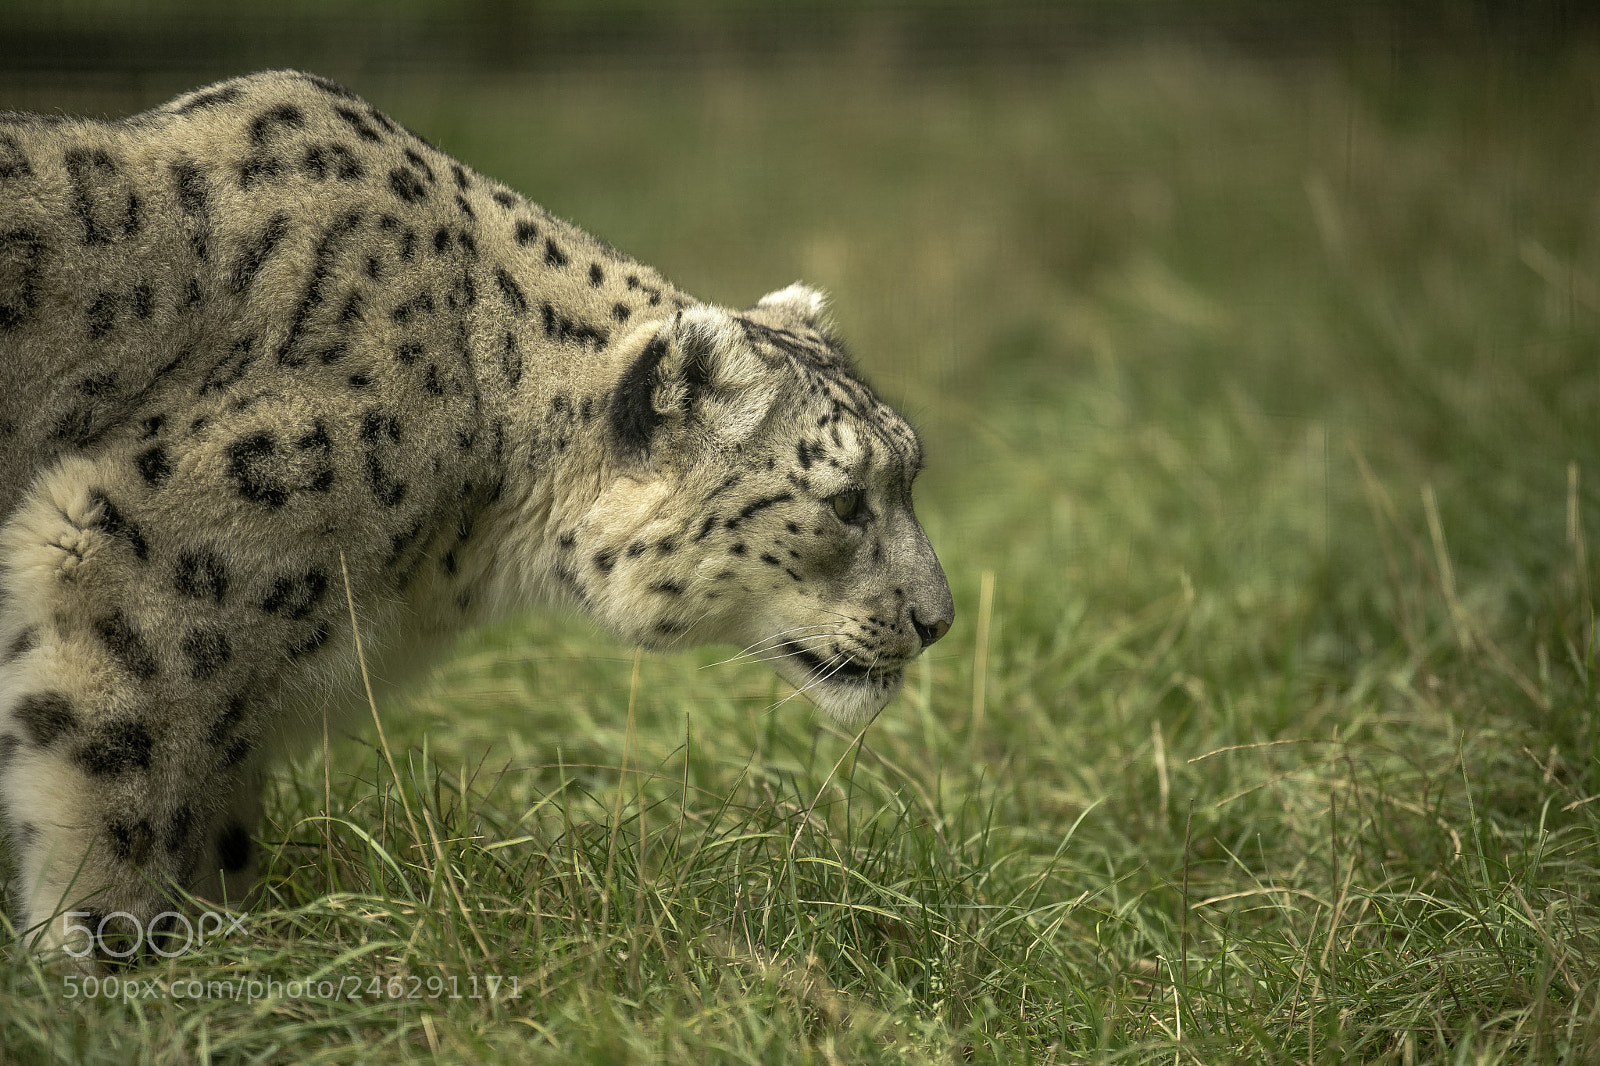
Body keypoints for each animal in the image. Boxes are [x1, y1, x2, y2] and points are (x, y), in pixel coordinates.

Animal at [0, 70, 952, 966]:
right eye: (845, 501)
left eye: (910, 470)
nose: (938, 620)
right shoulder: (150, 589)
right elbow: (126, 811)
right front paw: (118, 976)